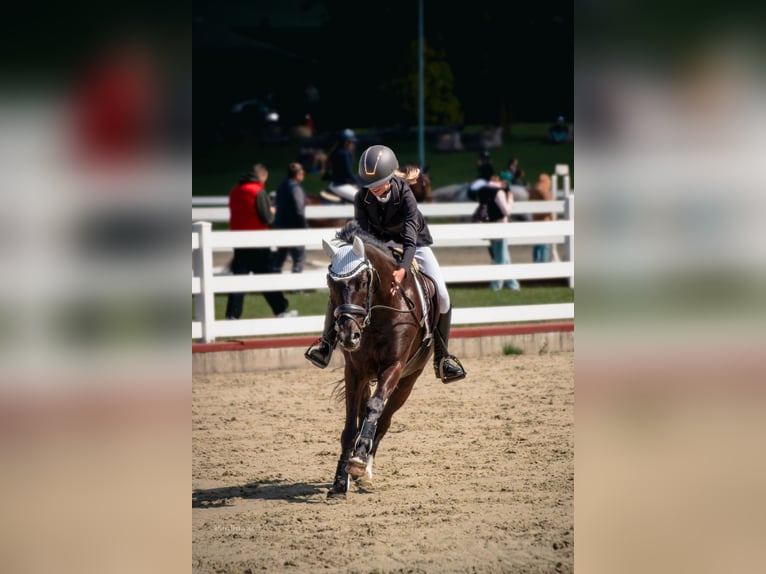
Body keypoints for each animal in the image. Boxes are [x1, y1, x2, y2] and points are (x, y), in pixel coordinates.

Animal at [321, 220, 438, 498]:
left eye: (363, 281)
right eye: (330, 283)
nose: (348, 335)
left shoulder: (394, 367)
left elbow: (375, 408)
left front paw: (359, 462)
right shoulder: (355, 372)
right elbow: (351, 425)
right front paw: (340, 481)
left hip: (407, 381)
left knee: (384, 420)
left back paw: (366, 470)